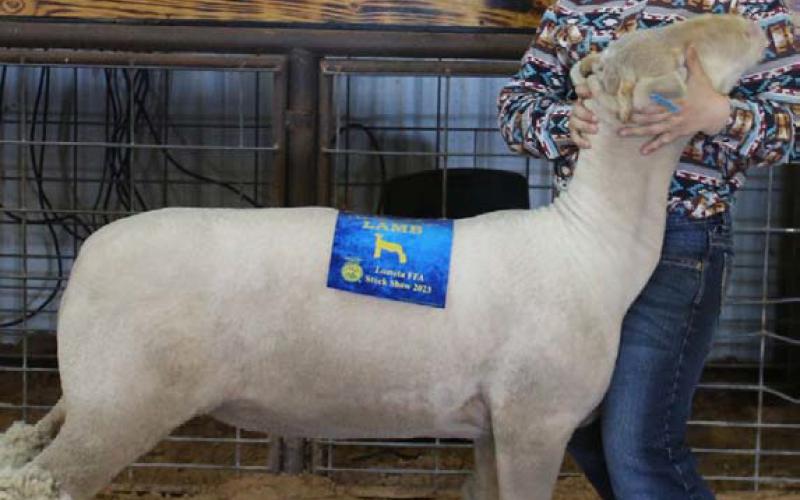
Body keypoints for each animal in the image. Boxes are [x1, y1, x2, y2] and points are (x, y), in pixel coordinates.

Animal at [0, 14, 766, 500]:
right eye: (688, 47)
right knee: (43, 483)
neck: (590, 248)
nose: (759, 25)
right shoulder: (535, 417)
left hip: (93, 393)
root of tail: (89, 255)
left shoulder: (493, 422)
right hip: (125, 401)